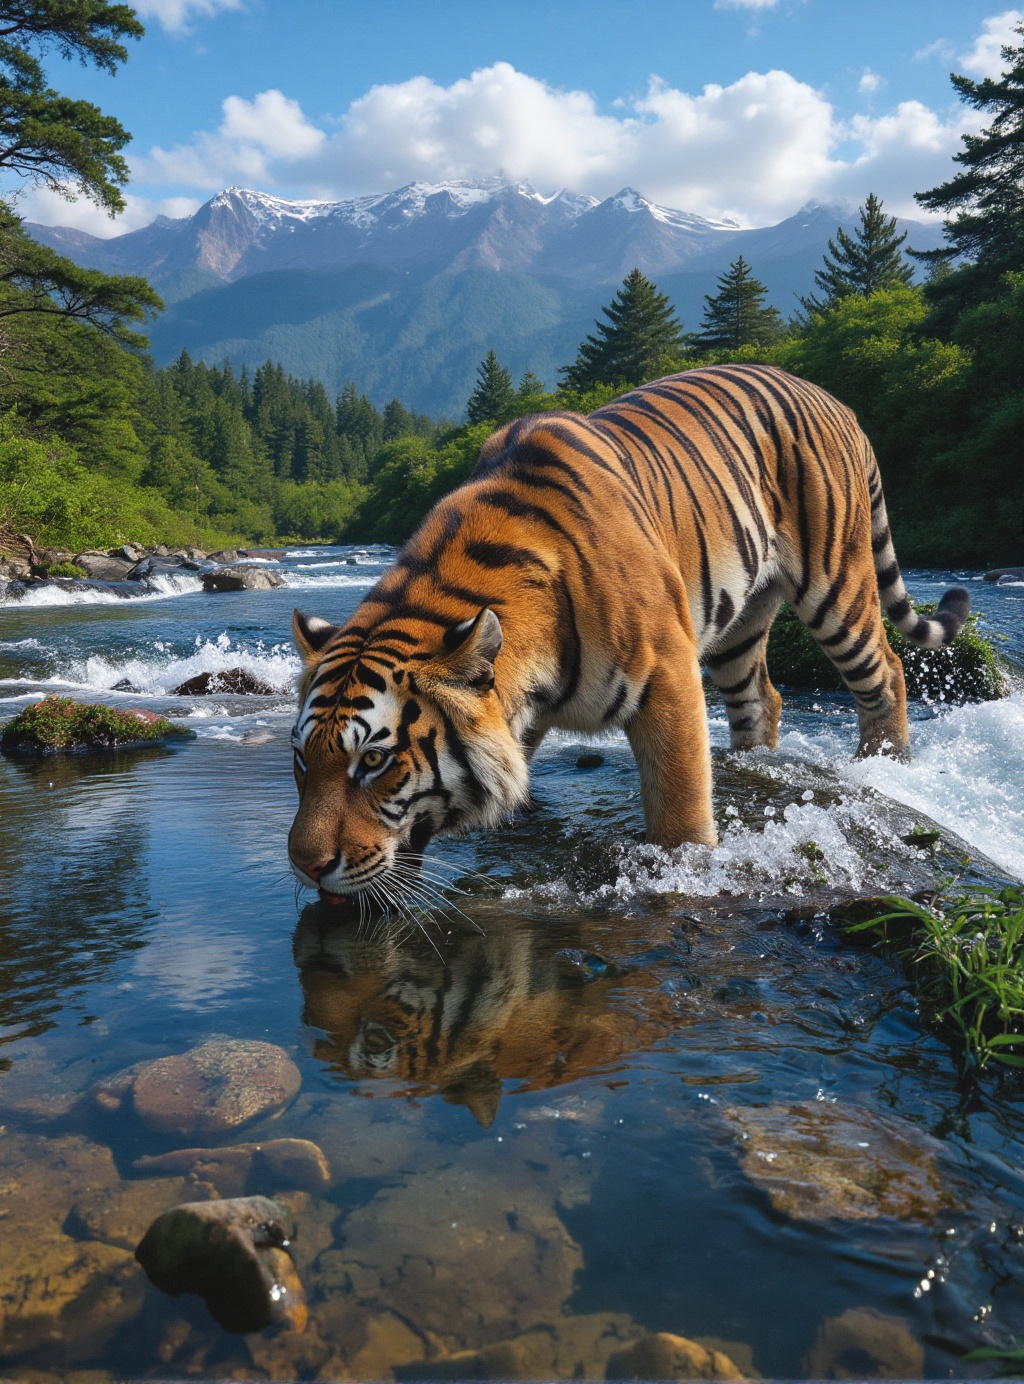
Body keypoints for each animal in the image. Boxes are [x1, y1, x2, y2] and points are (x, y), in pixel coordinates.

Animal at [288, 363, 968, 904]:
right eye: (302, 759)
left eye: (375, 761)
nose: (305, 865)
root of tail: (834, 400)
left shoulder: (668, 674)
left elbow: (680, 803)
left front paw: (689, 871)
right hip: (740, 629)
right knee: (764, 698)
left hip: (837, 584)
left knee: (887, 673)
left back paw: (884, 767)